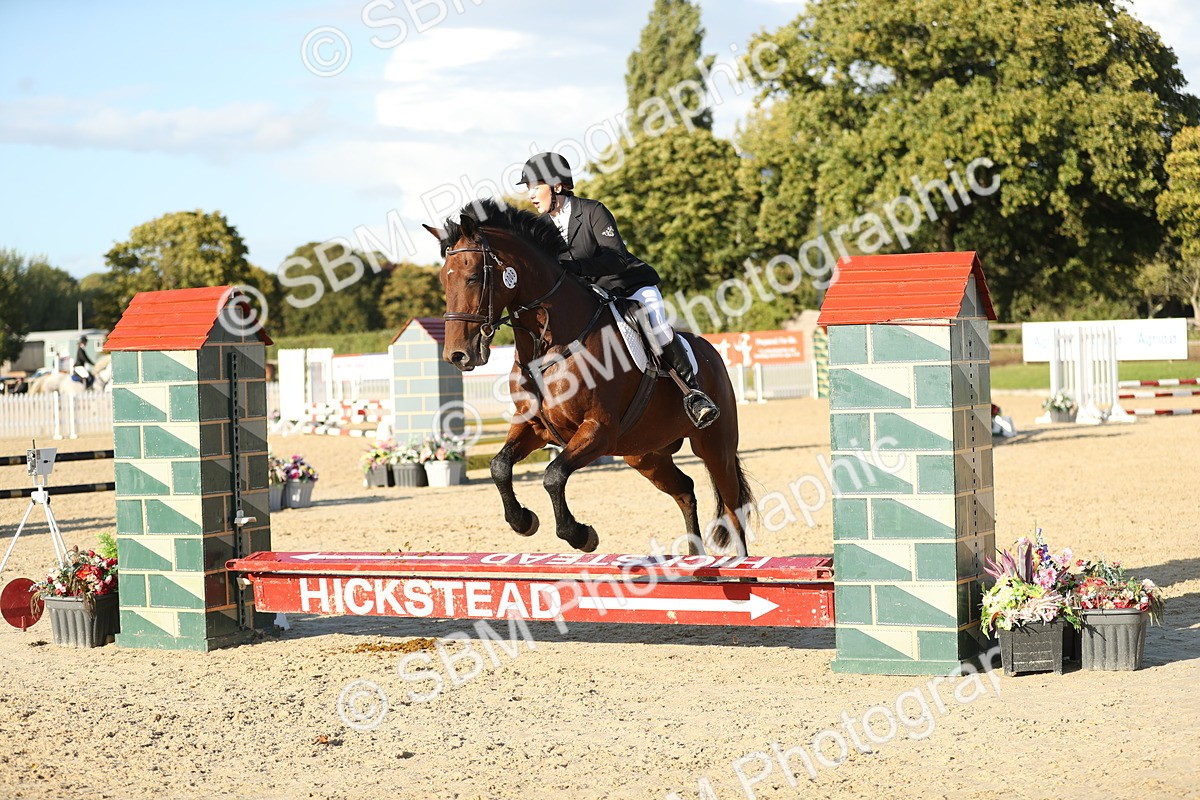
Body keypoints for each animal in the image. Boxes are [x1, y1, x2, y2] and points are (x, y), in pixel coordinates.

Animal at [426, 199, 754, 556]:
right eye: (443, 280)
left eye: (472, 277)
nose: (457, 355)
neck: (548, 347)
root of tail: (711, 353)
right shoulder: (533, 425)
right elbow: (499, 467)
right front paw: (523, 521)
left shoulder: (598, 430)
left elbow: (553, 475)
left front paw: (580, 535)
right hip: (645, 454)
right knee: (684, 490)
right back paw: (695, 558)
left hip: (715, 445)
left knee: (733, 506)